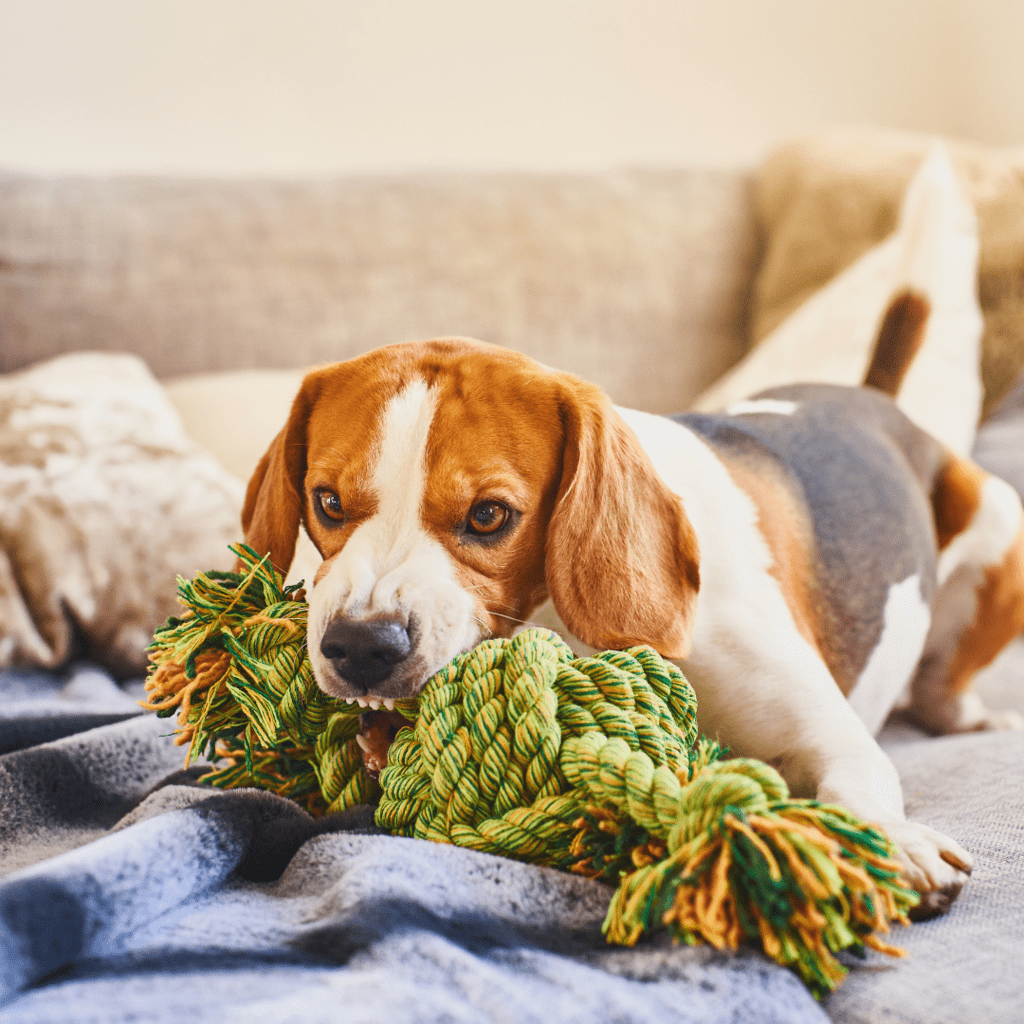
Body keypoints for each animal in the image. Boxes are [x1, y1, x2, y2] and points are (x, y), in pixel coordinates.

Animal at [241, 294, 1024, 913]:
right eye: (328, 502)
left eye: (489, 516)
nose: (361, 647)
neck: (559, 622)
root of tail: (872, 398)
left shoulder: (829, 734)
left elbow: (856, 779)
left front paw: (893, 840)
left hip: (1002, 527)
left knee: (942, 692)